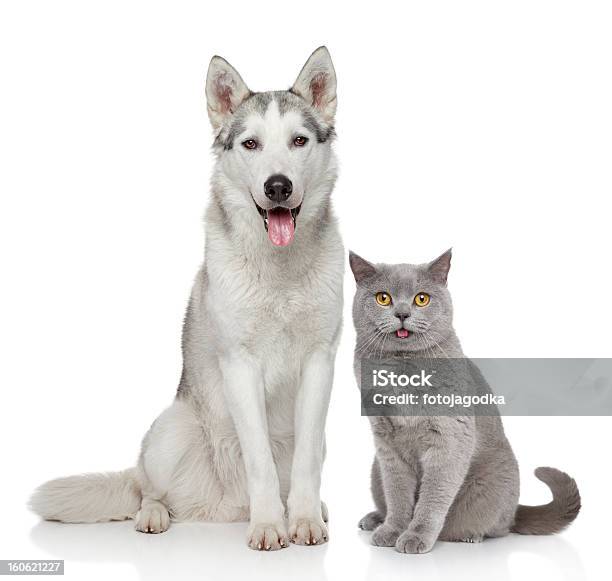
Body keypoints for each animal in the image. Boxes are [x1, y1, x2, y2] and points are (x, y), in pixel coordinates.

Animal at [31, 46, 344, 548]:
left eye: (299, 141)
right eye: (251, 144)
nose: (278, 186)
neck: (279, 271)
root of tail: (223, 508)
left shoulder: (321, 362)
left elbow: (306, 463)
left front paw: (303, 520)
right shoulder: (240, 364)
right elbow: (259, 461)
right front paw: (268, 526)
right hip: (169, 431)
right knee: (147, 490)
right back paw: (157, 515)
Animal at [350, 248, 580, 552]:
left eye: (421, 298)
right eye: (383, 297)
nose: (402, 313)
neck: (403, 370)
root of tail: (517, 509)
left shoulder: (448, 438)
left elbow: (432, 497)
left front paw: (415, 537)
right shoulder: (386, 443)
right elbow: (397, 493)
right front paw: (393, 530)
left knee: (500, 527)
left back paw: (472, 535)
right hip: (375, 470)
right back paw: (374, 520)